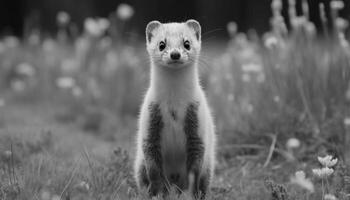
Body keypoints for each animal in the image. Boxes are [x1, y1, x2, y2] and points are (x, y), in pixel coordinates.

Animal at [135, 19, 215, 198]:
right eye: (161, 44)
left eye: (187, 43)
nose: (175, 54)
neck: (174, 105)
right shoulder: (150, 122)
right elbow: (154, 170)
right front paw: (156, 193)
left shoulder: (197, 126)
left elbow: (194, 171)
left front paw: (191, 194)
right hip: (139, 165)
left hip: (209, 166)